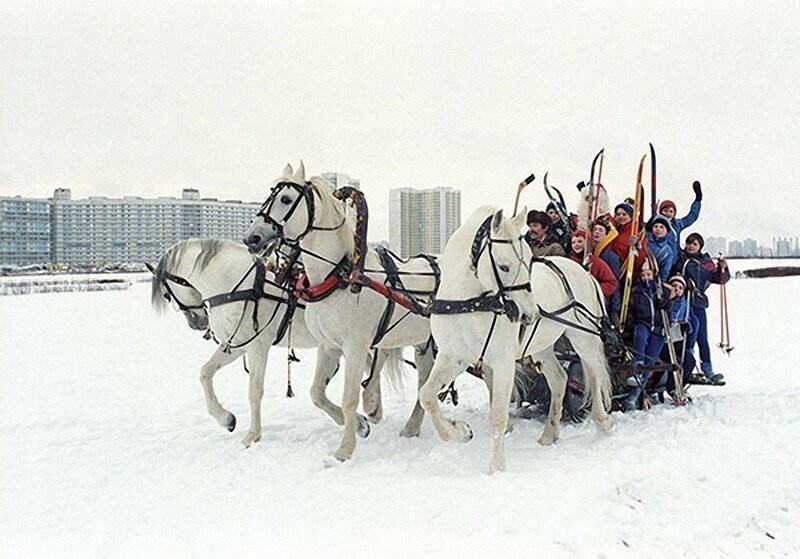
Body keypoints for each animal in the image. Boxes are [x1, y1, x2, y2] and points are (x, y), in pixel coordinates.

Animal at [152, 238, 390, 448]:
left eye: (167, 294)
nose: (198, 323)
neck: (234, 283)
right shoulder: (237, 345)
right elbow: (205, 372)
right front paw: (226, 419)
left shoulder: (257, 346)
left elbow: (255, 390)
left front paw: (252, 436)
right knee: (372, 364)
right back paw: (374, 409)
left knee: (380, 359)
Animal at [244, 163, 440, 464]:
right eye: (269, 195)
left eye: (286, 199)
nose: (252, 238)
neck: (339, 274)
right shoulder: (329, 346)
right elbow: (316, 393)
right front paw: (359, 424)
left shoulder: (355, 347)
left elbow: (349, 398)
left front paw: (345, 449)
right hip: (422, 343)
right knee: (421, 382)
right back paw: (410, 426)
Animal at [418, 206, 536, 472]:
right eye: (504, 266)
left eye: (530, 261)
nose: (529, 314)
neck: (471, 302)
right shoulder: (454, 357)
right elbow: (427, 395)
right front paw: (459, 431)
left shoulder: (503, 361)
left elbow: (498, 416)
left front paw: (497, 467)